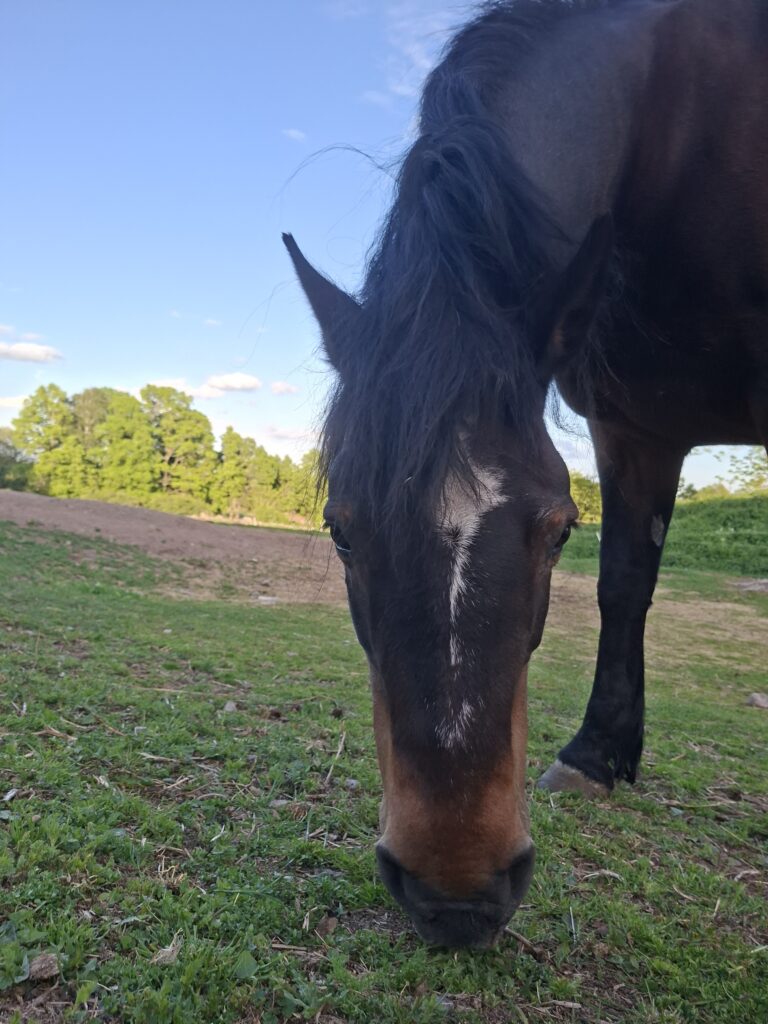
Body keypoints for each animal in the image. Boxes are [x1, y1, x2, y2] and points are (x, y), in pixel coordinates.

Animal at [284, 0, 768, 948]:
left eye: (556, 531)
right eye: (341, 531)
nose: (456, 893)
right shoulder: (633, 429)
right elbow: (626, 585)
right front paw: (598, 754)